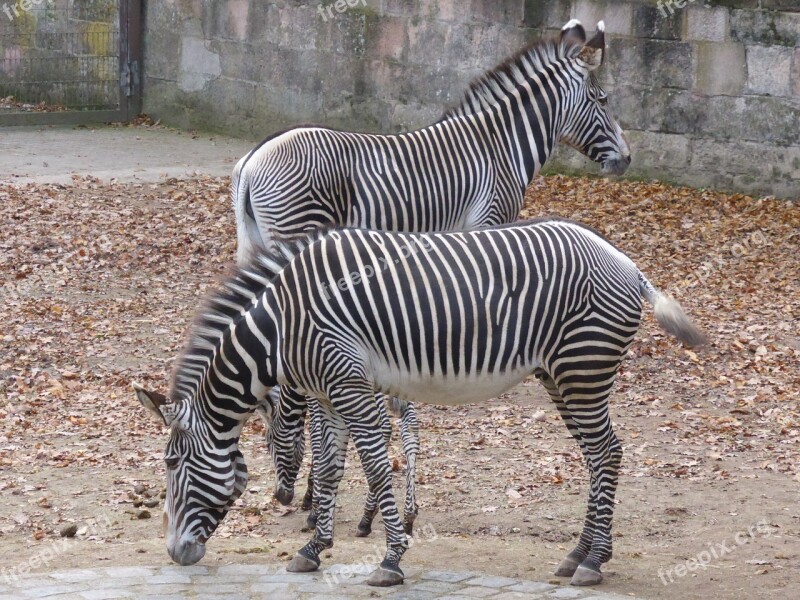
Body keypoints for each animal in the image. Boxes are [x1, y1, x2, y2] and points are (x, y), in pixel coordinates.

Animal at [131, 217, 700, 584]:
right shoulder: (329, 396)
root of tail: (626, 262)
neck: (284, 324)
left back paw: (593, 562)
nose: (175, 555)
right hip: (559, 375)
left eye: (173, 463)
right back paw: (577, 553)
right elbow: (331, 469)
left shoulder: (350, 386)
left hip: (583, 367)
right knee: (595, 455)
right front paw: (313, 549)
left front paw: (390, 559)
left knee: (607, 452)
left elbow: (376, 466)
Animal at [234, 18, 628, 536]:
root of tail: (253, 159)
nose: (626, 160)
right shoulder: (490, 222)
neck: (501, 145)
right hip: (296, 232)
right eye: (602, 100)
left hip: (256, 242)